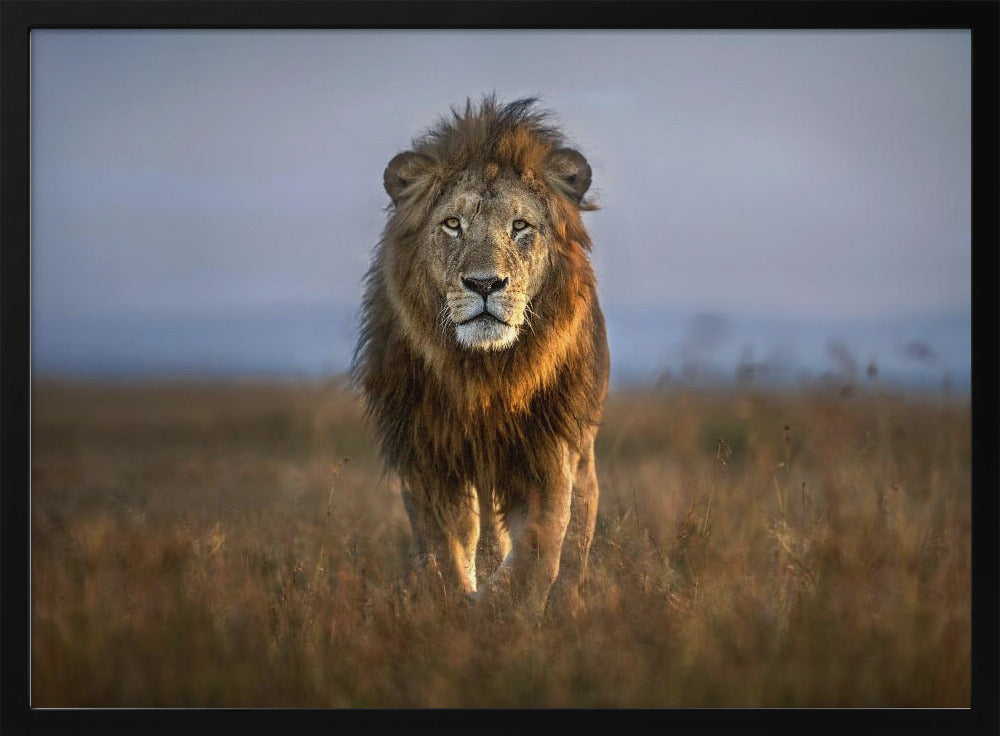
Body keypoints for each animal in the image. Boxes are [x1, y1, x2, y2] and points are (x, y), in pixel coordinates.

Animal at [353, 96, 609, 615]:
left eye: (520, 226)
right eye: (453, 224)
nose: (485, 284)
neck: (485, 373)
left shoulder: (548, 452)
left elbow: (538, 548)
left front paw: (501, 611)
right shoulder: (428, 455)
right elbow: (445, 548)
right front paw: (454, 605)